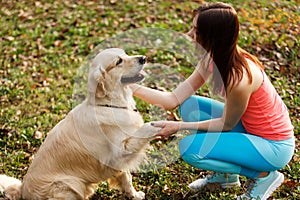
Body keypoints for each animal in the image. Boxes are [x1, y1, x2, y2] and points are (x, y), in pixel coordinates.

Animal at [0, 47, 162, 199]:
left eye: (125, 54)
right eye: (119, 61)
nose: (143, 58)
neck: (108, 104)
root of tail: (22, 190)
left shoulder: (118, 163)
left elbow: (126, 178)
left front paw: (134, 195)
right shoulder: (118, 152)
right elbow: (143, 130)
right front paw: (157, 125)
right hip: (68, 184)